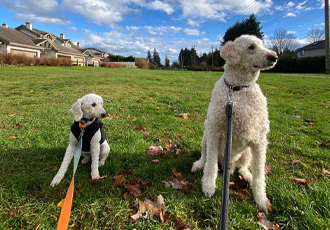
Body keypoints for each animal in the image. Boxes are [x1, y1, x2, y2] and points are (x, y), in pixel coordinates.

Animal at [192, 35, 278, 213]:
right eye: (251, 47)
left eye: (262, 45)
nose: (274, 57)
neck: (238, 89)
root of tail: (229, 166)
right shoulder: (215, 131)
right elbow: (211, 165)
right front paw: (208, 186)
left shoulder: (260, 140)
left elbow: (259, 174)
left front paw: (261, 199)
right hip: (206, 138)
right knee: (205, 157)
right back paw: (198, 165)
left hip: (247, 153)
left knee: (244, 167)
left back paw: (247, 176)